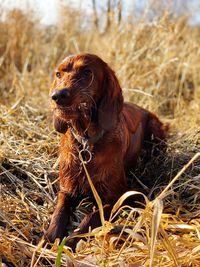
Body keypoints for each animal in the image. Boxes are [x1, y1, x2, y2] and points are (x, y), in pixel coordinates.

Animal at [45, 53, 167, 250]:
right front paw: (48, 238)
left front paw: (70, 241)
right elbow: (59, 212)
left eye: (87, 72)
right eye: (58, 74)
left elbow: (90, 218)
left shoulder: (118, 198)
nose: (57, 95)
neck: (86, 142)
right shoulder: (67, 189)